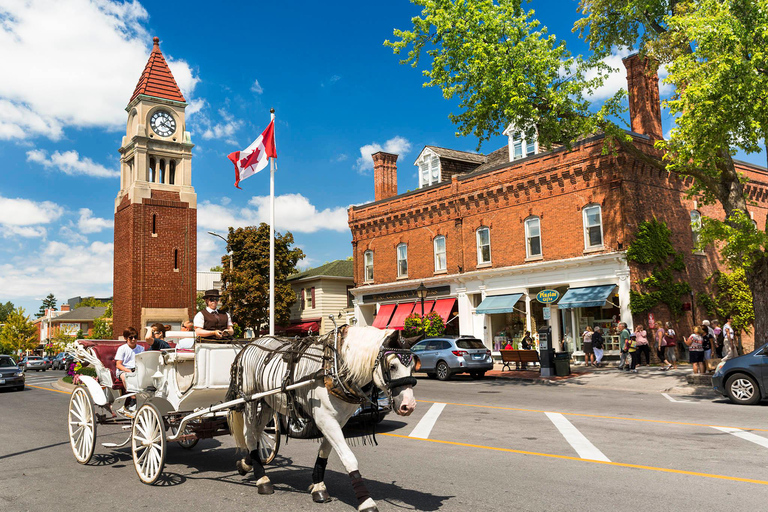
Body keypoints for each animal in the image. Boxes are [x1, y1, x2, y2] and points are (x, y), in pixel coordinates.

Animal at [226, 326, 416, 510]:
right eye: (392, 366)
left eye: (413, 366)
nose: (409, 405)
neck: (335, 367)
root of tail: (249, 345)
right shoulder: (325, 419)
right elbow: (348, 458)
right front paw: (365, 501)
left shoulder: (338, 420)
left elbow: (324, 452)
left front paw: (318, 486)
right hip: (250, 400)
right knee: (250, 434)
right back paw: (262, 479)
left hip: (268, 403)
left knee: (258, 432)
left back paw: (246, 464)